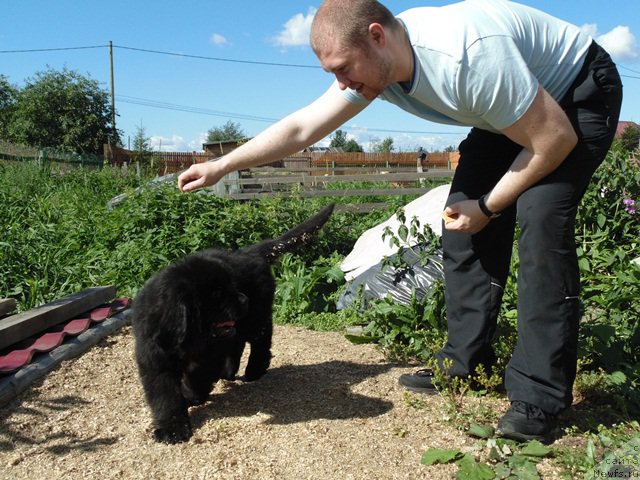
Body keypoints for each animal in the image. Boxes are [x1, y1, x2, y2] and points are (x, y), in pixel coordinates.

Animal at [133, 202, 338, 442]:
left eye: (230, 286)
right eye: (216, 294)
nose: (244, 300)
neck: (185, 339)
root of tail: (249, 252)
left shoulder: (209, 355)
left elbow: (198, 376)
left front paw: (192, 396)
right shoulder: (155, 358)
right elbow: (164, 396)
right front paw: (171, 429)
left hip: (255, 317)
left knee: (261, 340)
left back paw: (254, 370)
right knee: (239, 341)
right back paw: (230, 371)